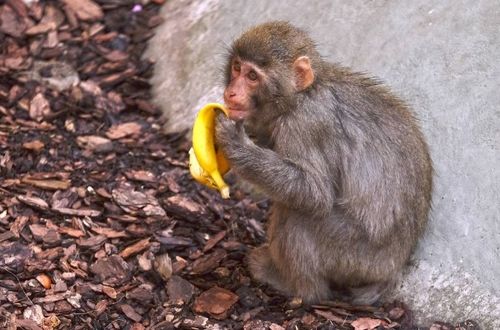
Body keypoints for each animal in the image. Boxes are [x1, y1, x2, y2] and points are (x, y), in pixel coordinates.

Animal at [213, 21, 432, 304]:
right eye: (237, 68)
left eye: (252, 76)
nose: (231, 92)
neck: (301, 96)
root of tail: (394, 268)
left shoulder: (306, 124)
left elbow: (314, 193)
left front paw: (235, 143)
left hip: (355, 257)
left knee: (298, 217)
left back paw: (297, 287)